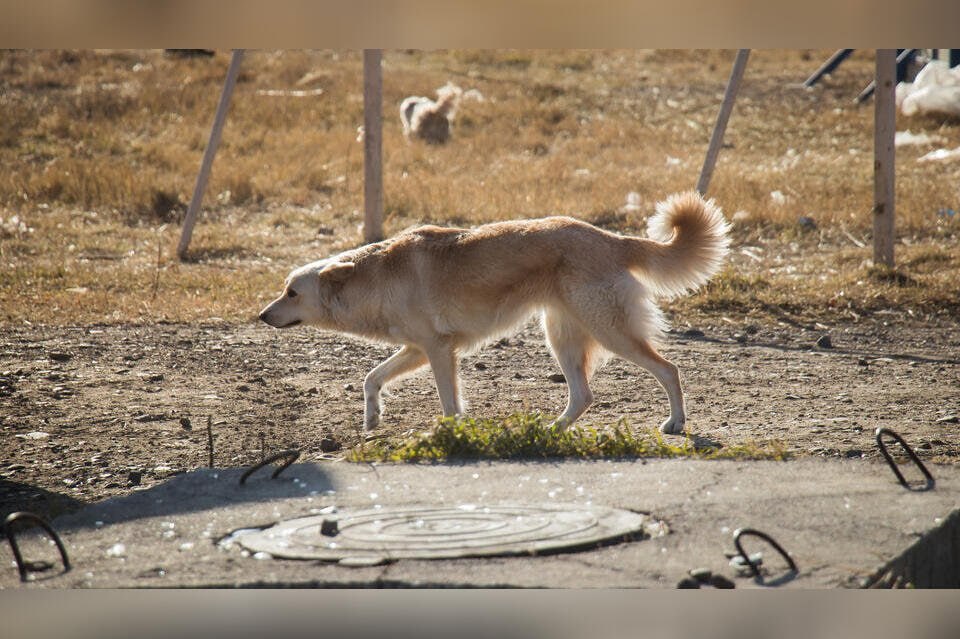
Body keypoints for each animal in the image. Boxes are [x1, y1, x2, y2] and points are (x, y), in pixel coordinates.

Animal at [258, 191, 732, 436]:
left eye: (292, 293)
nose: (263, 315)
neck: (374, 277)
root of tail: (612, 238)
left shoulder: (437, 352)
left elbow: (449, 402)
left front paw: (449, 434)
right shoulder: (418, 349)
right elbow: (371, 378)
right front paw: (372, 418)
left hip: (610, 332)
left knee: (668, 369)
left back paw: (675, 422)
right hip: (562, 338)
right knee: (583, 395)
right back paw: (551, 429)